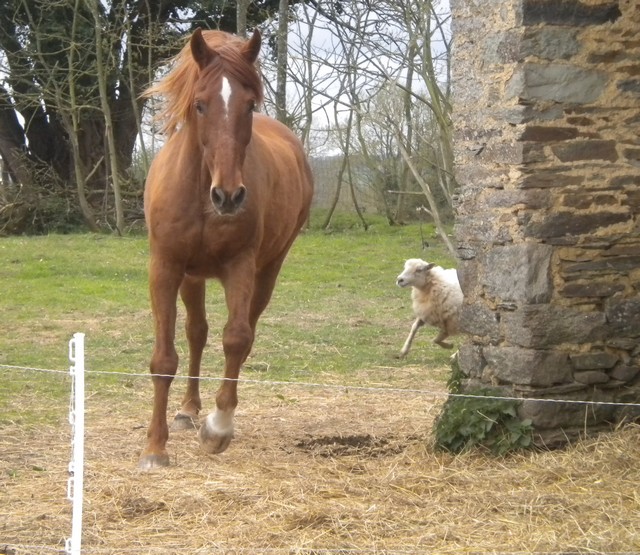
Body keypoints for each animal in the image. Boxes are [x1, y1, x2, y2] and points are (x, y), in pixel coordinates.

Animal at [139, 28, 312, 472]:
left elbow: (236, 338)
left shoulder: (241, 267)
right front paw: (155, 448)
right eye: (200, 104)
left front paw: (218, 428)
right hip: (191, 276)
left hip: (267, 271)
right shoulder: (165, 268)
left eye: (249, 105)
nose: (229, 196)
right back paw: (186, 410)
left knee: (242, 334)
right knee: (196, 333)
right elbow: (164, 359)